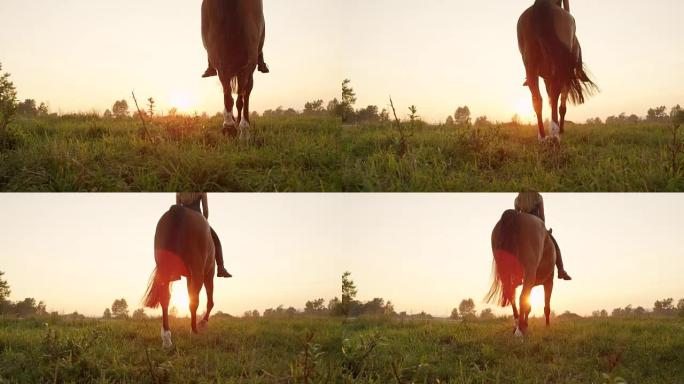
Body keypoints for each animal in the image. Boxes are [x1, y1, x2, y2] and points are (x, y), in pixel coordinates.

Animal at [140, 207, 212, 348]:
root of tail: (179, 209)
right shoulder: (209, 271)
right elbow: (209, 301)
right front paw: (203, 322)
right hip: (198, 271)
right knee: (194, 301)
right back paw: (193, 331)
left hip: (166, 269)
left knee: (165, 298)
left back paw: (167, 338)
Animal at [200, 0, 264, 140]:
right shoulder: (221, 62)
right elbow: (228, 95)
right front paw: (229, 126)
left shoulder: (248, 63)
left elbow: (243, 98)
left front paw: (243, 129)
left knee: (244, 96)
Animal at [520, 0, 592, 140]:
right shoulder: (565, 78)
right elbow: (561, 105)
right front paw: (561, 129)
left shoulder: (546, 77)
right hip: (559, 69)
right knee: (554, 96)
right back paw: (554, 133)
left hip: (531, 65)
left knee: (537, 98)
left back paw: (543, 136)